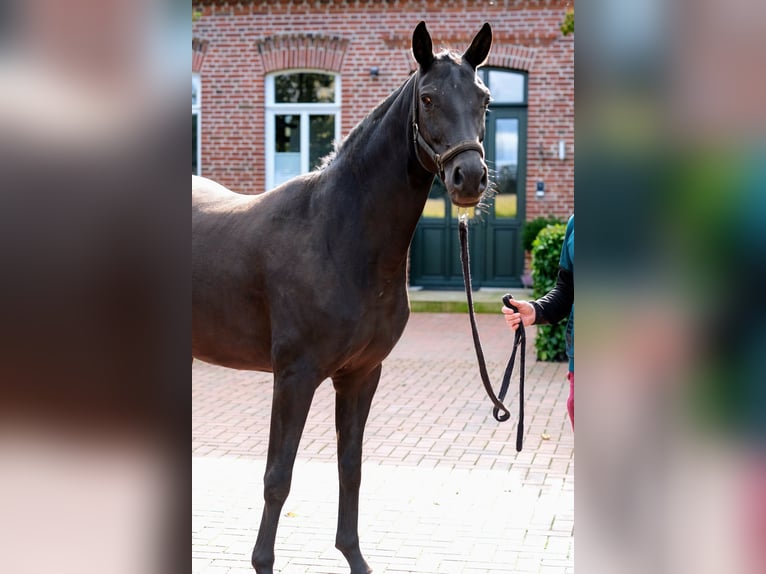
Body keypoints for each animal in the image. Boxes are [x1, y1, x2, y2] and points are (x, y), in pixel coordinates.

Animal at [192, 22, 492, 574]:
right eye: (428, 97)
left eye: (483, 98)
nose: (470, 178)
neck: (338, 233)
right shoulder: (295, 376)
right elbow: (278, 476)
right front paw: (262, 562)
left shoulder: (361, 375)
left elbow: (350, 468)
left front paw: (354, 556)